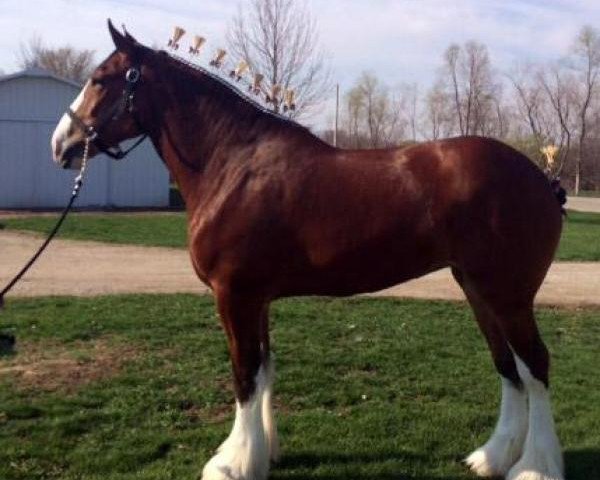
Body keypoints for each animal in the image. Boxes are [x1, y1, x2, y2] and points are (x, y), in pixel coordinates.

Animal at [50, 21, 564, 480]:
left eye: (101, 79)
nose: (61, 143)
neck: (232, 164)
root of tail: (542, 179)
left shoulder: (234, 296)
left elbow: (244, 374)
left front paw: (232, 464)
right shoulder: (255, 298)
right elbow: (264, 369)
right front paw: (261, 454)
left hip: (508, 295)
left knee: (534, 366)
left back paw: (534, 468)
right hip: (478, 289)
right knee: (508, 366)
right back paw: (492, 458)